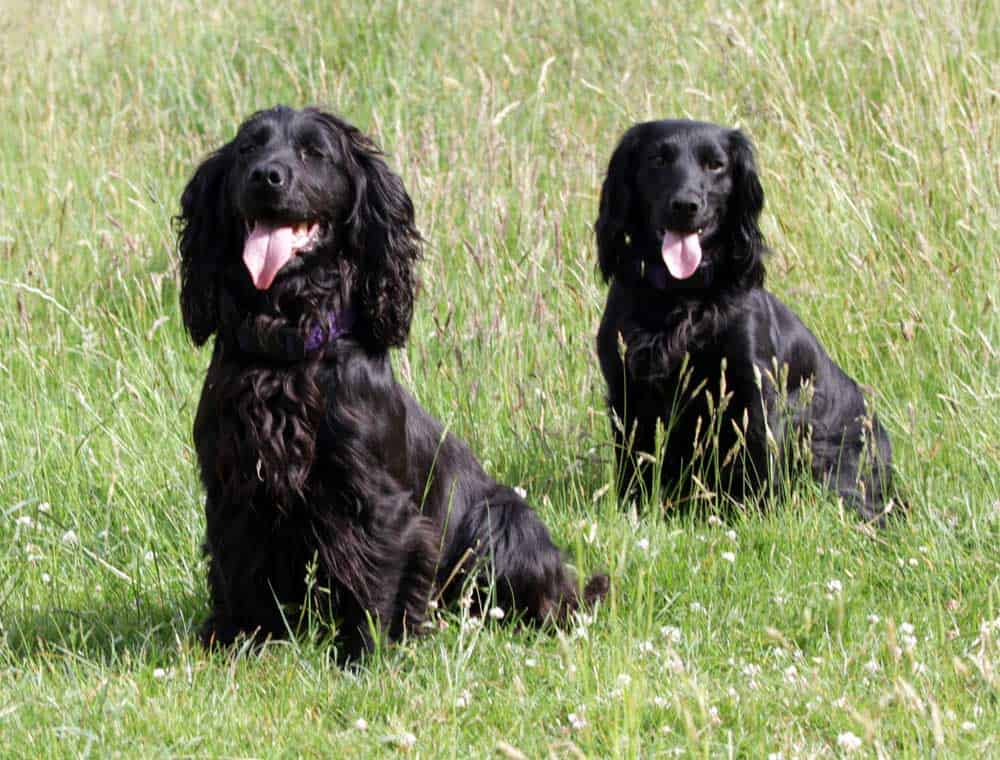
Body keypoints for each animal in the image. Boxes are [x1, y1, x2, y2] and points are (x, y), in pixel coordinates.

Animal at [176, 105, 604, 660]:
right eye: (249, 147)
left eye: (314, 152)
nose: (266, 176)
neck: (287, 347)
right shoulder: (235, 485)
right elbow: (236, 570)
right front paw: (234, 643)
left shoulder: (375, 502)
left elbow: (375, 577)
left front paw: (367, 654)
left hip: (501, 521)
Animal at [592, 120, 892, 524]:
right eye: (658, 159)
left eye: (715, 165)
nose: (686, 205)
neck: (681, 295)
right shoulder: (627, 388)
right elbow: (633, 462)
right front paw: (633, 508)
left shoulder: (753, 389)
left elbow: (759, 462)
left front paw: (759, 517)